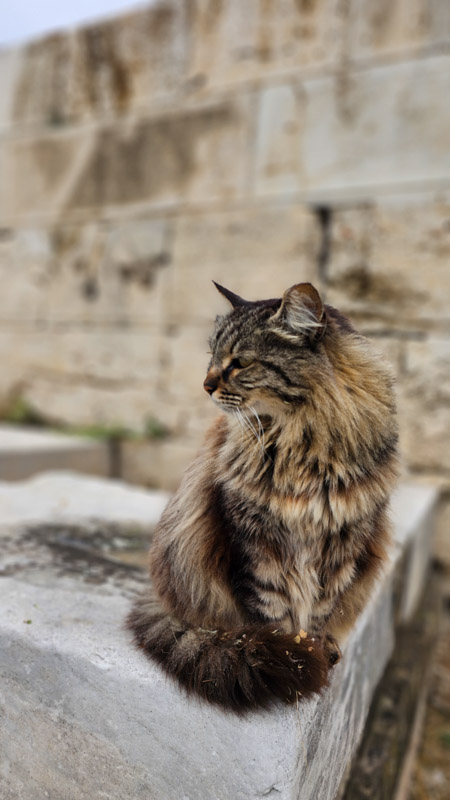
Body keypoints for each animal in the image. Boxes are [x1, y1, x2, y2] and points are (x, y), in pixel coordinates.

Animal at [126, 282, 398, 712]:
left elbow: (320, 610)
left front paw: (316, 649)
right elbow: (271, 611)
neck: (301, 447)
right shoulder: (253, 540)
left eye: (238, 363)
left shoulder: (343, 545)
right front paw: (292, 654)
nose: (205, 385)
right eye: (212, 357)